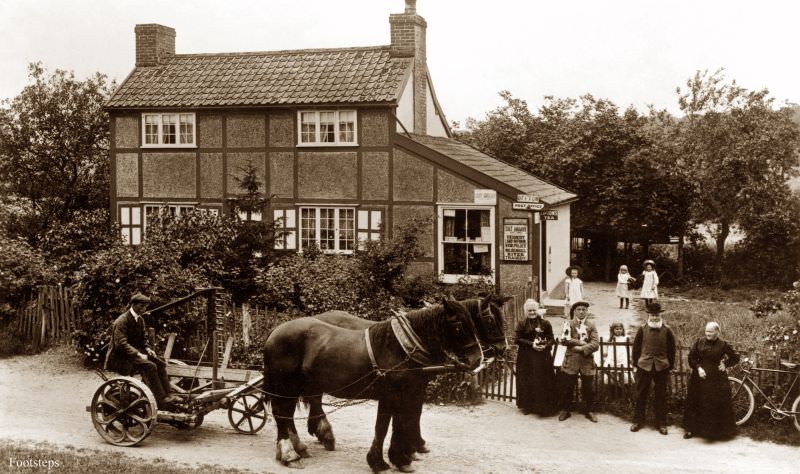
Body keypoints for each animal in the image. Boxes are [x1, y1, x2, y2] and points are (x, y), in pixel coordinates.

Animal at [266, 298, 484, 468]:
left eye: (474, 323)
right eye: (458, 325)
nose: (477, 359)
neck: (400, 347)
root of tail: (274, 332)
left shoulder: (406, 393)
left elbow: (400, 423)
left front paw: (400, 459)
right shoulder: (391, 395)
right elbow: (384, 427)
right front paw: (379, 462)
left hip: (295, 387)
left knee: (288, 415)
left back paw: (298, 448)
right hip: (285, 385)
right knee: (282, 414)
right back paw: (290, 454)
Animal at [310, 294, 510, 472]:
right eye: (490, 321)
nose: (503, 348)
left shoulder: (416, 386)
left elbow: (412, 414)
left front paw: (410, 449)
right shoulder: (409, 388)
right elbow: (407, 416)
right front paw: (409, 450)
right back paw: (324, 434)